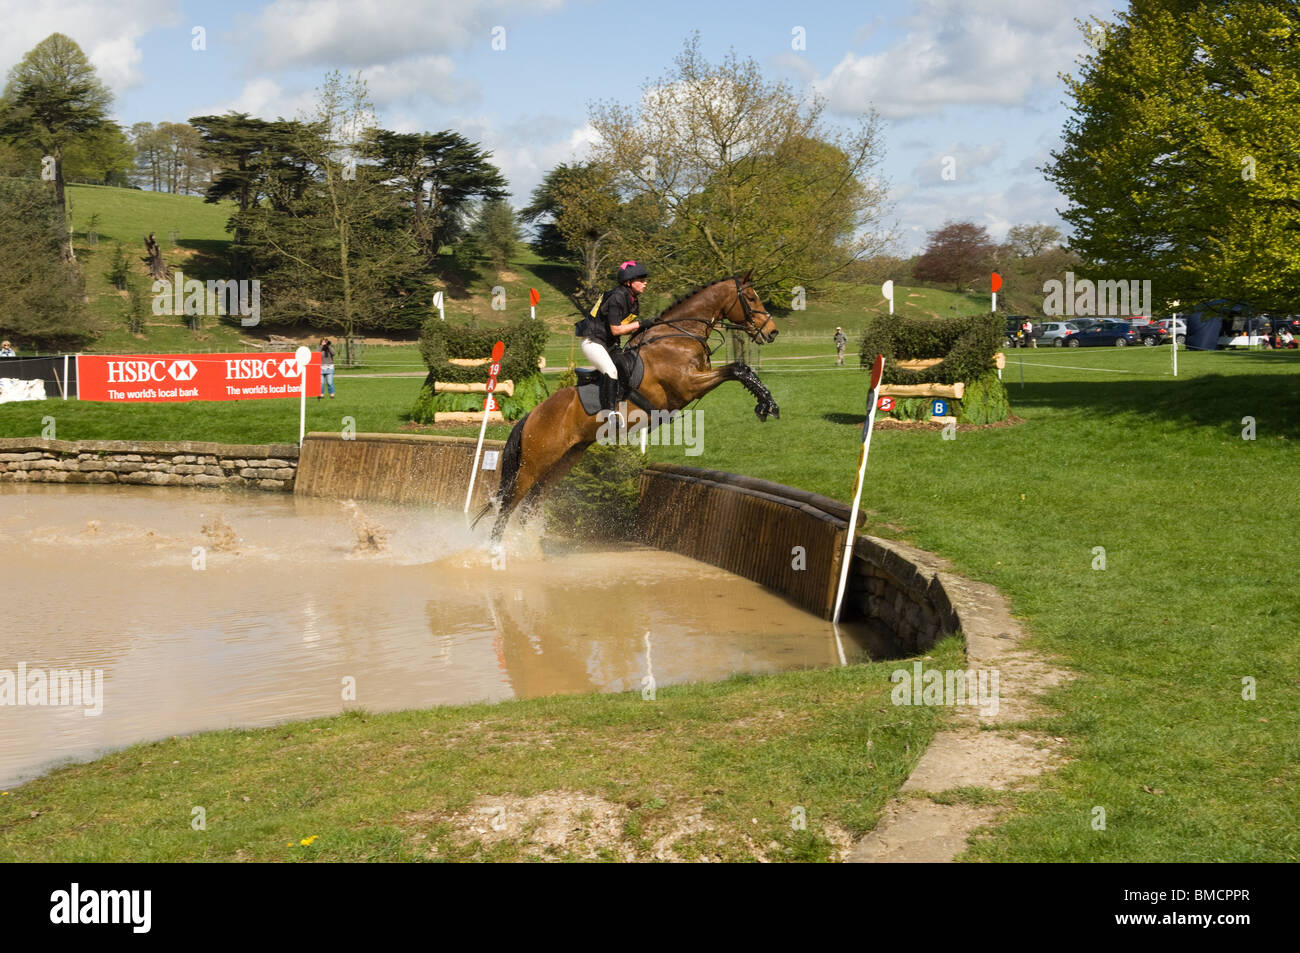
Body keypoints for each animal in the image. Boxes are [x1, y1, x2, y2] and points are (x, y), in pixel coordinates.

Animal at [472, 270, 780, 542]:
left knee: (530, 503)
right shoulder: (688, 384)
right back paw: (497, 551)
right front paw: (767, 404)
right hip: (533, 464)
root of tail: (532, 415)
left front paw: (767, 402)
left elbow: (740, 369)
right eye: (751, 298)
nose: (772, 332)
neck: (679, 335)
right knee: (508, 506)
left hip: (564, 459)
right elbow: (737, 368)